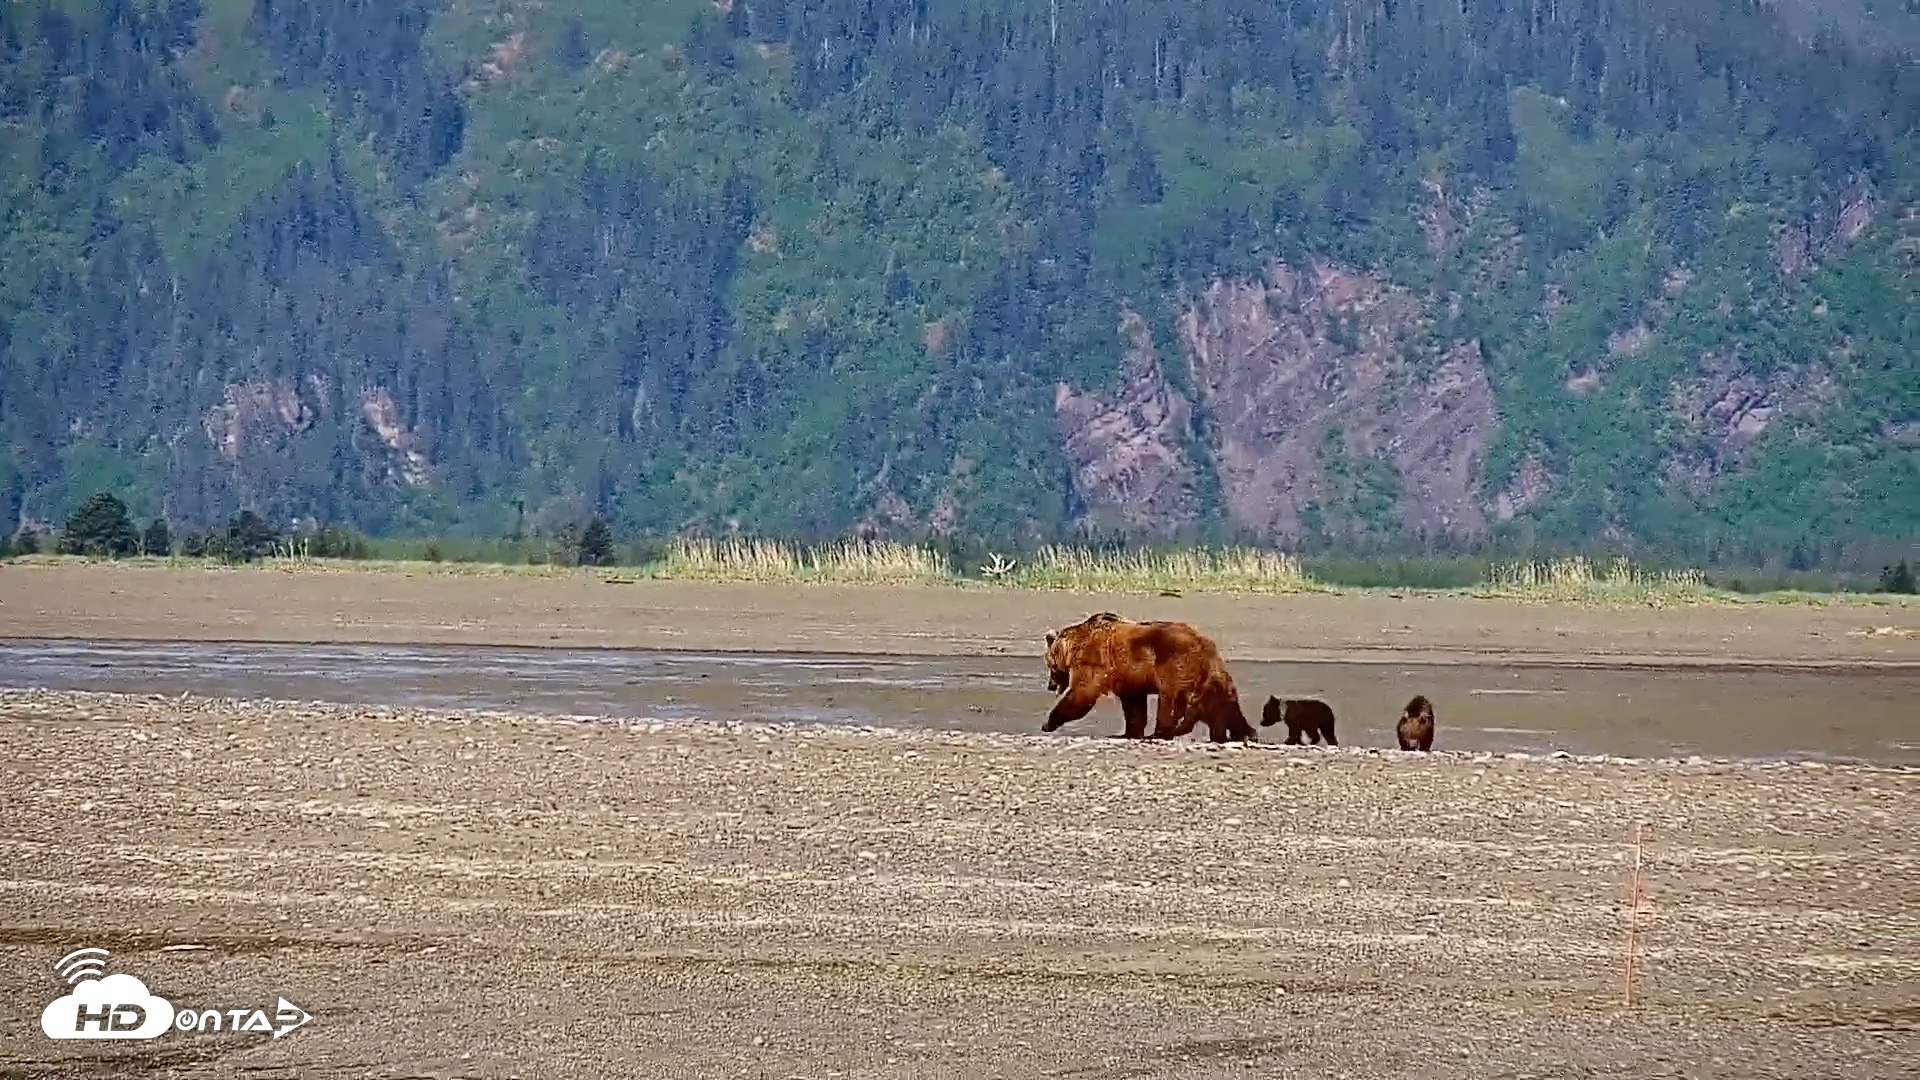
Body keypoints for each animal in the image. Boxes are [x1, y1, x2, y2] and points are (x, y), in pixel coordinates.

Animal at [1042, 612, 1257, 743]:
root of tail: (1205, 644)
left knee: (1170, 701)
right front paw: (1129, 733)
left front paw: (1048, 723)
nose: (1050, 685)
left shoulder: (1095, 661)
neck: (1073, 646)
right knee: (1224, 705)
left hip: (1173, 665)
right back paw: (1242, 733)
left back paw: (1159, 733)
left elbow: (1082, 693)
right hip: (1210, 676)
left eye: (1049, 665)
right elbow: (1134, 706)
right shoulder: (1128, 676)